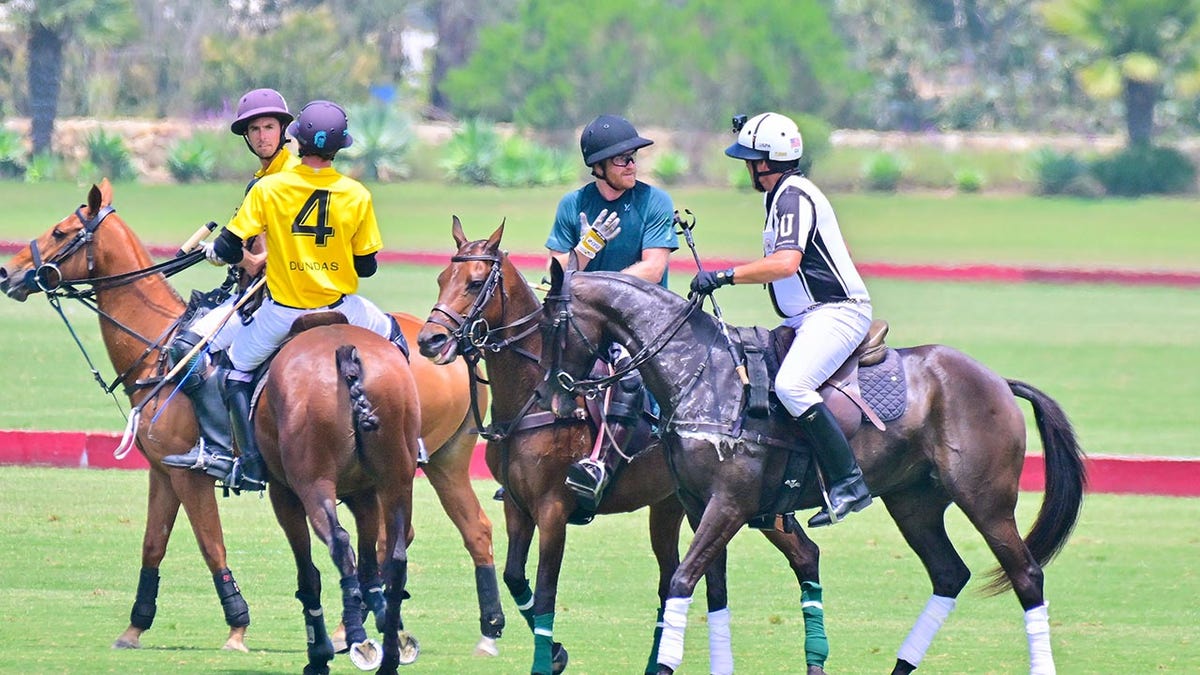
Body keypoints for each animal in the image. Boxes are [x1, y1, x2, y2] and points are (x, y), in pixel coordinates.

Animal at [0, 180, 501, 658]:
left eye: (60, 231)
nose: (9, 273)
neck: (158, 347)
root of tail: (454, 350)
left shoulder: (190, 473)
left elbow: (211, 544)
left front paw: (237, 627)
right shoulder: (162, 471)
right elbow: (153, 543)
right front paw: (134, 627)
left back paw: (354, 629)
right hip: (441, 461)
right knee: (467, 528)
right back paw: (477, 629)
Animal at [415, 216, 825, 672]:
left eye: (474, 283)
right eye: (441, 278)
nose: (429, 341)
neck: (528, 398)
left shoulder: (553, 509)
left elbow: (546, 591)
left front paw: (549, 656)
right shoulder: (518, 506)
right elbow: (515, 577)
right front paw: (556, 652)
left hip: (745, 502)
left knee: (801, 554)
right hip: (672, 506)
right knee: (673, 577)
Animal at [542, 261, 1089, 672]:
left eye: (554, 326)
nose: (554, 395)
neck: (703, 375)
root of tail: (999, 381)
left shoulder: (730, 506)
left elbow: (680, 582)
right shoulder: (699, 506)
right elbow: (712, 591)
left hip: (985, 500)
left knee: (1027, 576)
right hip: (913, 502)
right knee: (949, 573)